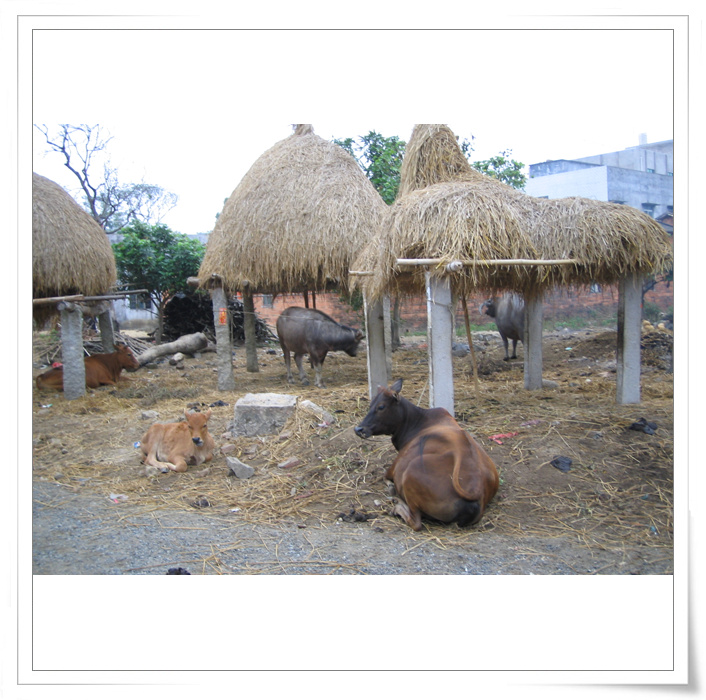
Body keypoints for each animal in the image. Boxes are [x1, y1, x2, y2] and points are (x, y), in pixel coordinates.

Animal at [354, 379, 499, 531]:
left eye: (381, 406)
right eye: (370, 404)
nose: (359, 429)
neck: (418, 421)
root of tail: (476, 490)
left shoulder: (394, 466)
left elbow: (385, 477)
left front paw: (391, 489)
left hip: (410, 472)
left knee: (416, 522)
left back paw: (397, 506)